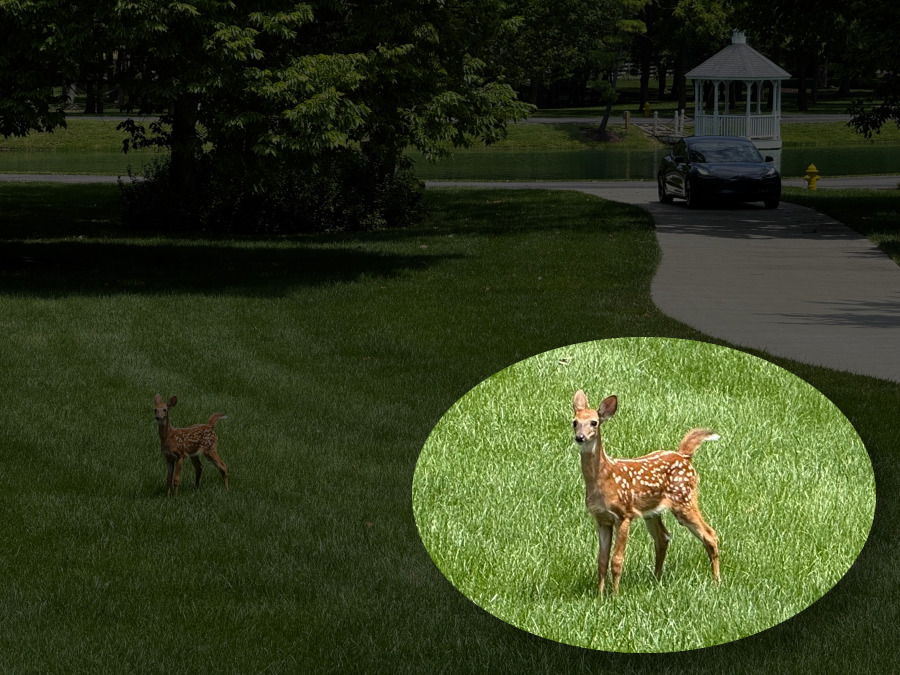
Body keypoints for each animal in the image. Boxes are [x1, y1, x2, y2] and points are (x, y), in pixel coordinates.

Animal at [572, 390, 720, 595]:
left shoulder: (624, 514)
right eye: (575, 422)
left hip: (684, 499)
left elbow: (617, 560)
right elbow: (601, 561)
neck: (603, 478)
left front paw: (614, 595)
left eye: (594, 422)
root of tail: (684, 456)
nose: (580, 437)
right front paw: (600, 595)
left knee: (710, 534)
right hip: (652, 512)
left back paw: (716, 581)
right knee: (663, 538)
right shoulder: (602, 519)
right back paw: (656, 579)